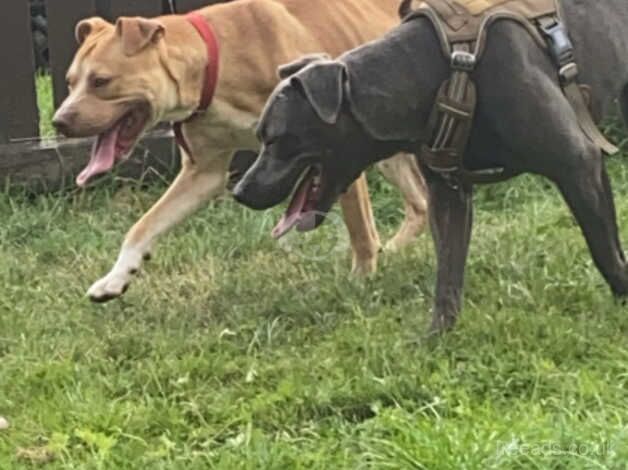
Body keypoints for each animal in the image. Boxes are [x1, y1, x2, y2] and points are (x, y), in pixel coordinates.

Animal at [52, 0, 426, 302]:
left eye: (101, 81)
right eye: (70, 82)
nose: (59, 121)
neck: (214, 63)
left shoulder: (337, 159)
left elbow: (359, 227)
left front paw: (361, 278)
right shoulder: (202, 174)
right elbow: (144, 225)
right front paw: (115, 277)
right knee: (421, 202)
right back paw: (397, 248)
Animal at [234, 0, 628, 332]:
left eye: (276, 139)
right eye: (260, 135)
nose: (239, 191)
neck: (432, 71)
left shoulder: (578, 163)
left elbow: (605, 251)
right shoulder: (448, 193)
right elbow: (448, 275)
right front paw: (437, 339)